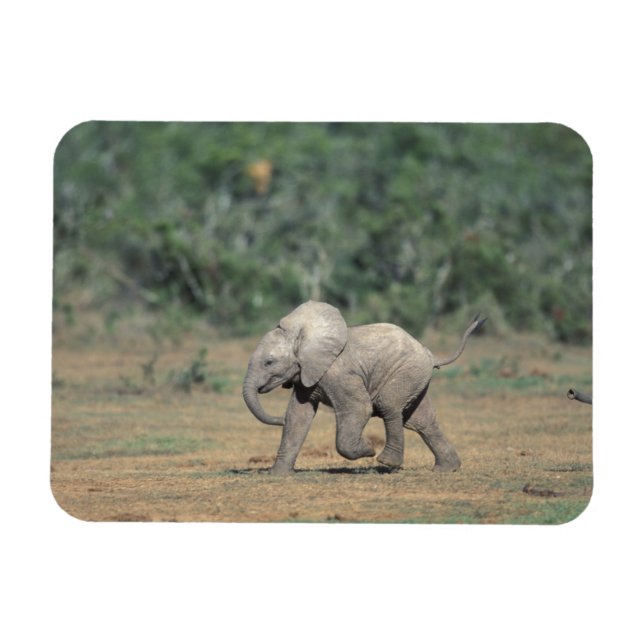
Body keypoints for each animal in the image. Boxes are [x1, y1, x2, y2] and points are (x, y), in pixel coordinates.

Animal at [242, 300, 485, 475]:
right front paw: (277, 475)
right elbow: (297, 416)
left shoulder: (338, 373)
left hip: (406, 371)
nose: (278, 419)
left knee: (390, 406)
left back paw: (386, 462)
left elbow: (359, 408)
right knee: (421, 421)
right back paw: (446, 469)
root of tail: (430, 354)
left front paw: (368, 449)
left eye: (269, 362)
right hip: (416, 377)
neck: (304, 336)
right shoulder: (307, 373)